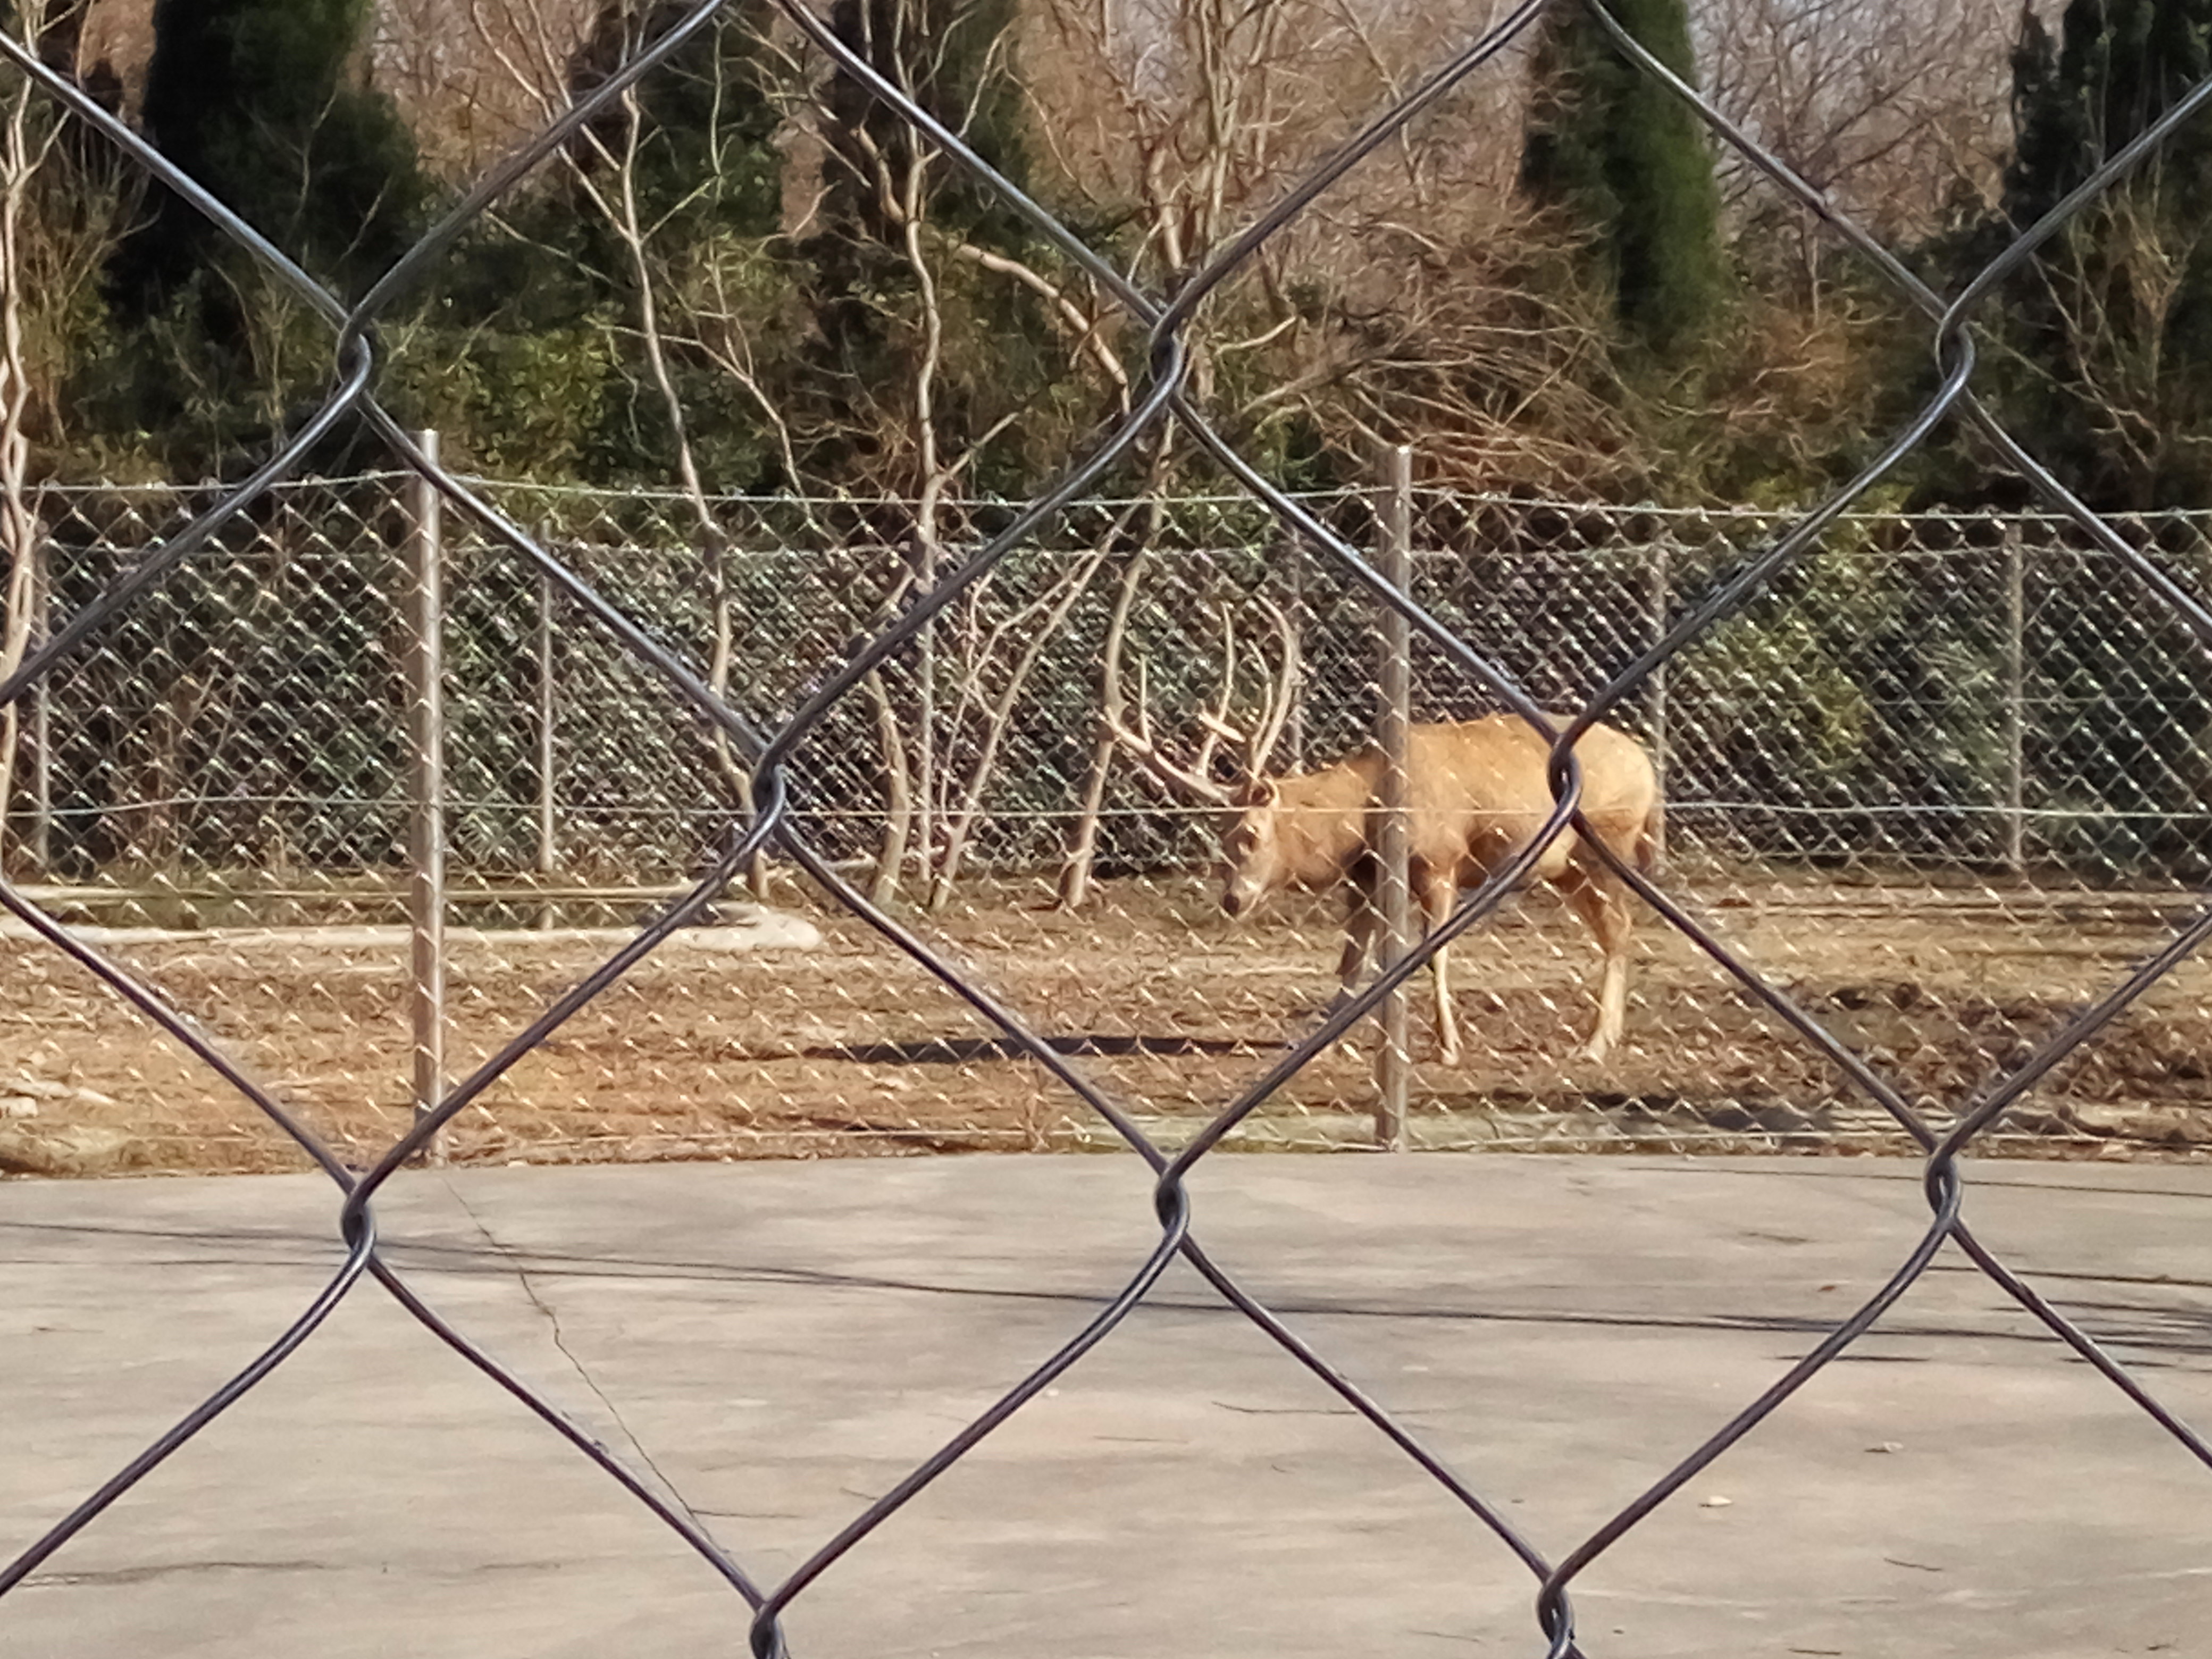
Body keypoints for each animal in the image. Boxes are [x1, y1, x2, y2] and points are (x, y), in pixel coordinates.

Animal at [1106, 601, 1663, 1066]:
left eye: (1251, 832)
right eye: (1219, 836)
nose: (1233, 900)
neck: (1366, 814)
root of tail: (1649, 770)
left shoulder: (1439, 862)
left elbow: (1432, 954)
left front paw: (1447, 1046)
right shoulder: (1366, 876)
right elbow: (1352, 960)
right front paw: (1320, 1039)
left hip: (1606, 844)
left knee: (1619, 932)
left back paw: (1595, 1044)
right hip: (1569, 868)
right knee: (1616, 934)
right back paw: (1606, 1036)